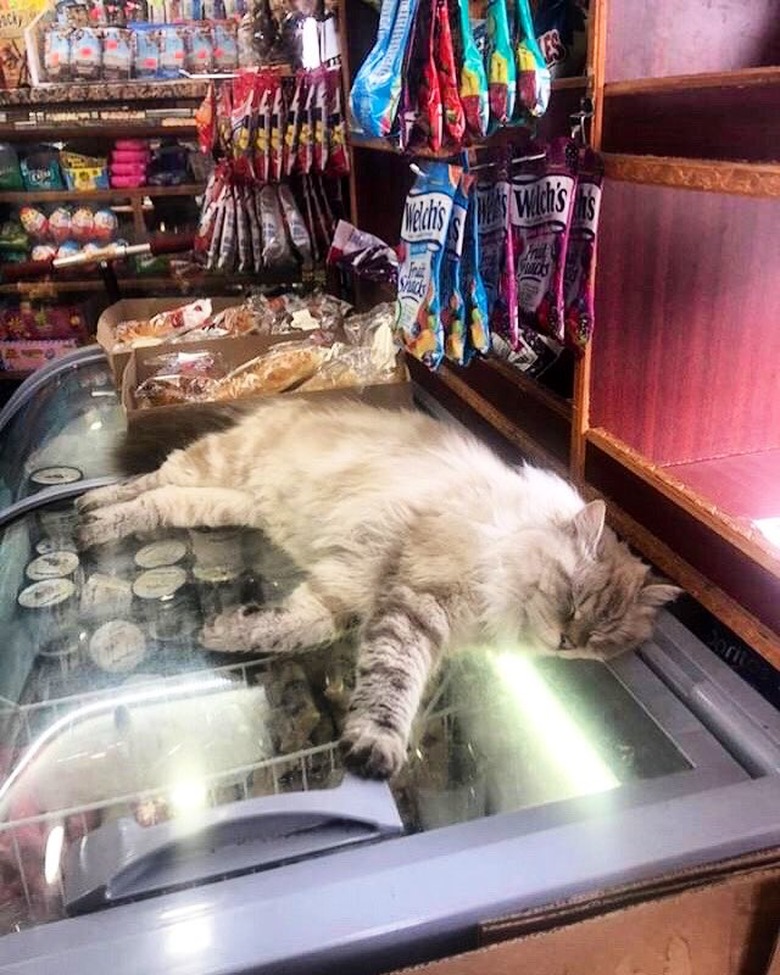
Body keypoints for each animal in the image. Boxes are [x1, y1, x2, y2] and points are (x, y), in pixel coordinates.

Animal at [76, 396, 680, 776]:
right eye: (572, 600)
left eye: (602, 637)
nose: (567, 643)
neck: (501, 543)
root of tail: (288, 402)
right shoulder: (414, 602)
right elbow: (392, 685)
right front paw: (374, 746)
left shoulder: (351, 587)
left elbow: (297, 626)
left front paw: (225, 632)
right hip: (213, 467)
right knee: (148, 483)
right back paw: (89, 515)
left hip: (225, 502)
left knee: (160, 500)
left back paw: (92, 519)